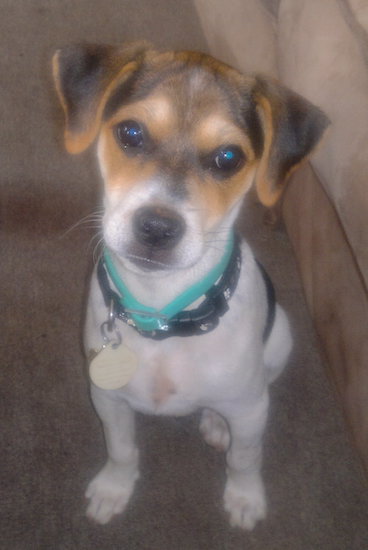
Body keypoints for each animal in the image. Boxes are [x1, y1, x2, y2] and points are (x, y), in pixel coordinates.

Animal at [51, 41, 328, 532]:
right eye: (131, 133)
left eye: (228, 158)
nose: (157, 228)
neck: (161, 312)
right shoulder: (107, 398)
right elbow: (121, 449)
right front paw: (114, 488)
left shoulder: (252, 411)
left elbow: (245, 458)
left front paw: (245, 497)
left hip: (280, 341)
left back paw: (216, 422)